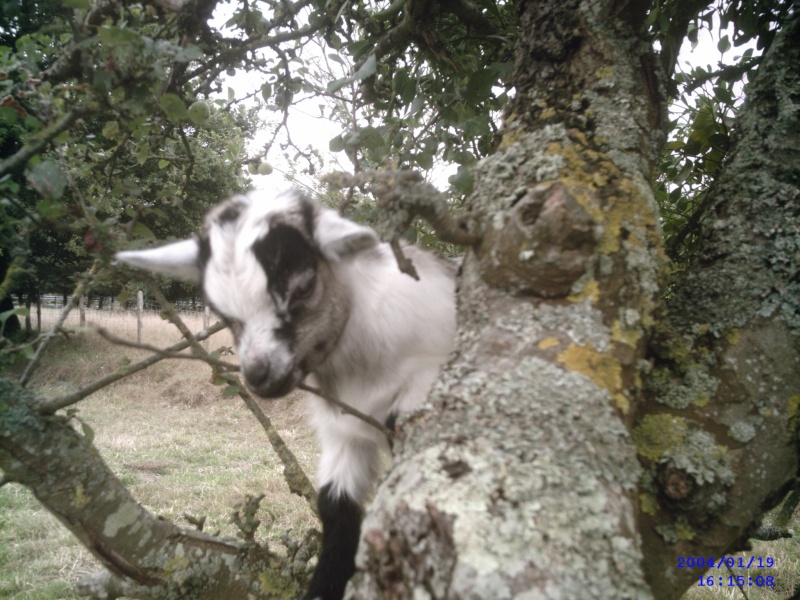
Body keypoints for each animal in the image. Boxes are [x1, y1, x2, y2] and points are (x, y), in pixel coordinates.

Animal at [116, 189, 460, 600]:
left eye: (304, 287)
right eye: (218, 309)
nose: (259, 375)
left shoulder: (428, 372)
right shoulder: (343, 433)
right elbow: (334, 506)